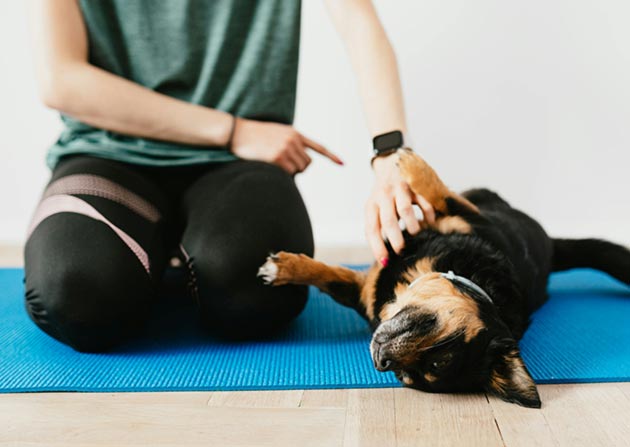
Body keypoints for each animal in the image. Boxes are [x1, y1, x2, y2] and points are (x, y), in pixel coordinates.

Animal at [256, 150, 630, 410]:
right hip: (482, 197)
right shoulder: (471, 221)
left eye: (430, 367)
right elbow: (330, 276)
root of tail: (551, 248)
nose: (382, 362)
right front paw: (286, 268)